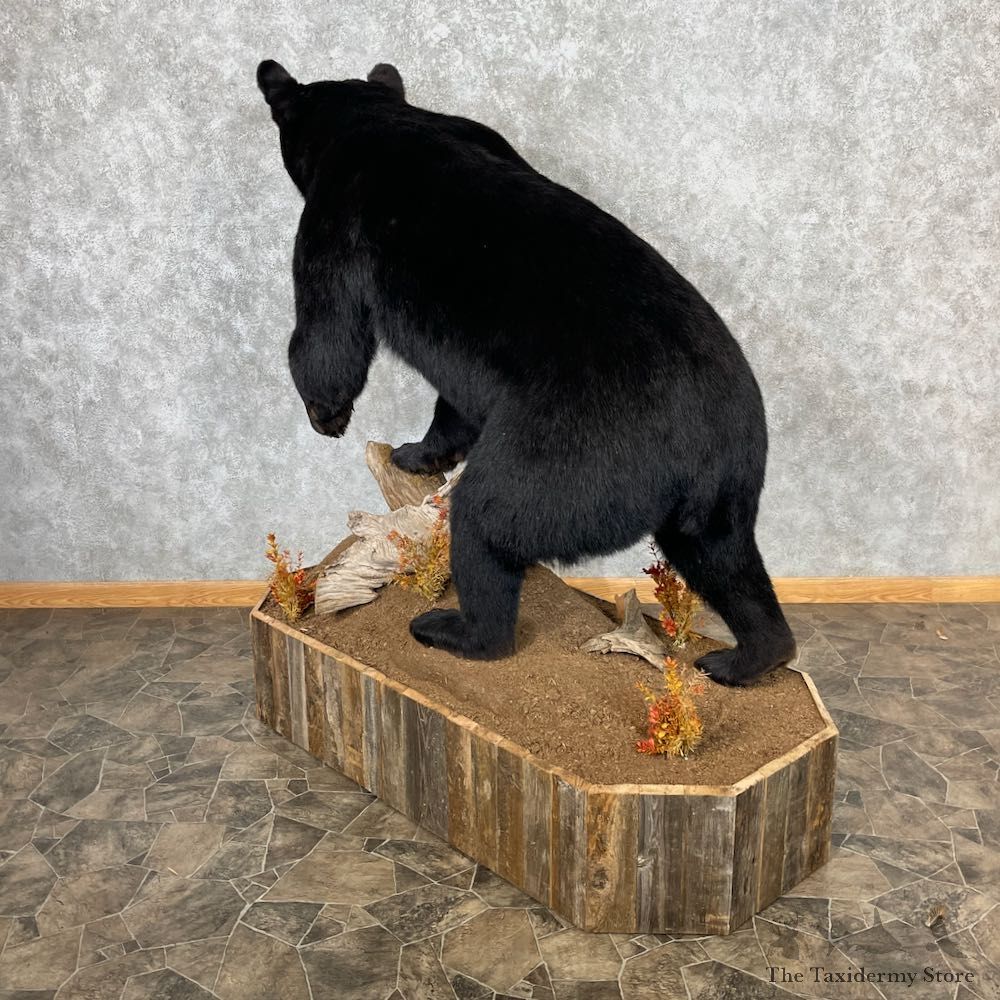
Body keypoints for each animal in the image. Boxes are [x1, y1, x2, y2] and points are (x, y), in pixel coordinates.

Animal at [256, 60, 796, 685]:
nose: (328, 423)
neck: (370, 119)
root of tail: (695, 440)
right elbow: (456, 399)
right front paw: (418, 453)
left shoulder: (336, 219)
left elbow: (327, 327)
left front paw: (327, 414)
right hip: (723, 484)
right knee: (726, 558)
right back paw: (746, 657)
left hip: (569, 453)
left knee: (486, 521)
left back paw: (454, 630)